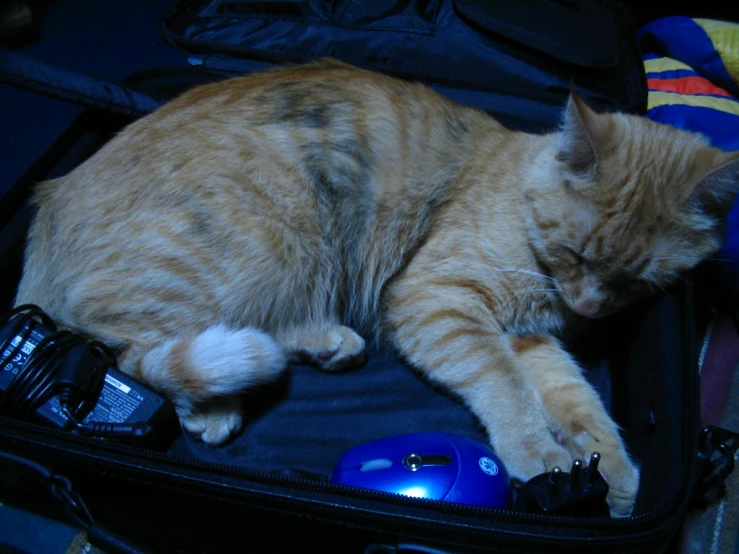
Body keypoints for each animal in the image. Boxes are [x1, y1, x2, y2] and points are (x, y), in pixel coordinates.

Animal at [13, 58, 739, 516]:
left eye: (635, 281)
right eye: (573, 252)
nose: (586, 305)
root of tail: (47, 203)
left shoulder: (529, 338)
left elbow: (577, 401)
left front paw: (608, 470)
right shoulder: (437, 301)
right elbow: (504, 387)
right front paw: (539, 455)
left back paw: (326, 343)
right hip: (266, 238)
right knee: (128, 343)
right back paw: (215, 404)